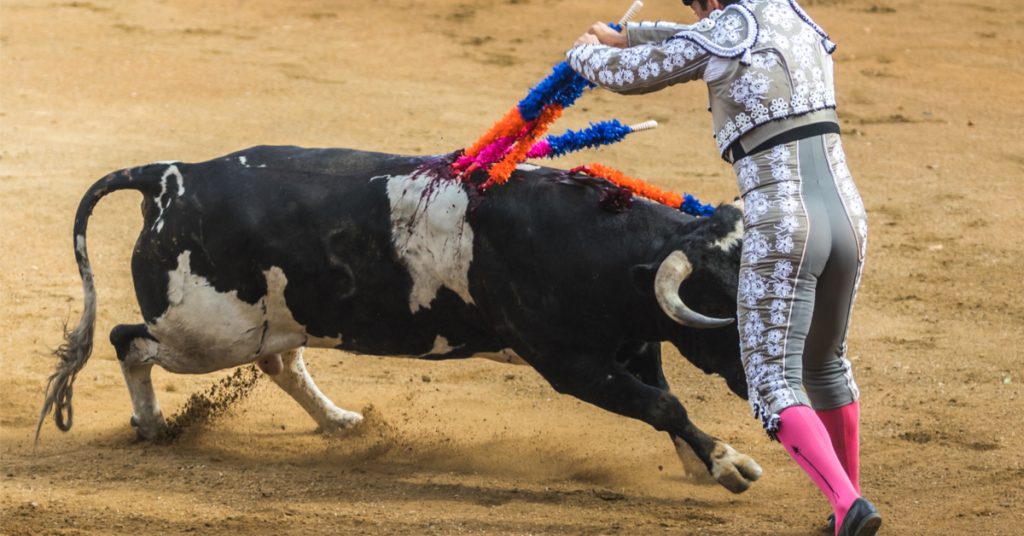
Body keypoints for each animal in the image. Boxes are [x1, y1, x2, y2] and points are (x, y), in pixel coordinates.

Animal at [39, 145, 765, 496]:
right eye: (722, 310)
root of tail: (172, 175)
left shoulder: (634, 343)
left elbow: (663, 400)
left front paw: (705, 461)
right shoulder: (573, 365)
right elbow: (663, 405)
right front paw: (727, 464)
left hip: (263, 319)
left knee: (279, 358)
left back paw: (339, 421)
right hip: (206, 332)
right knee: (130, 341)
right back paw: (153, 424)